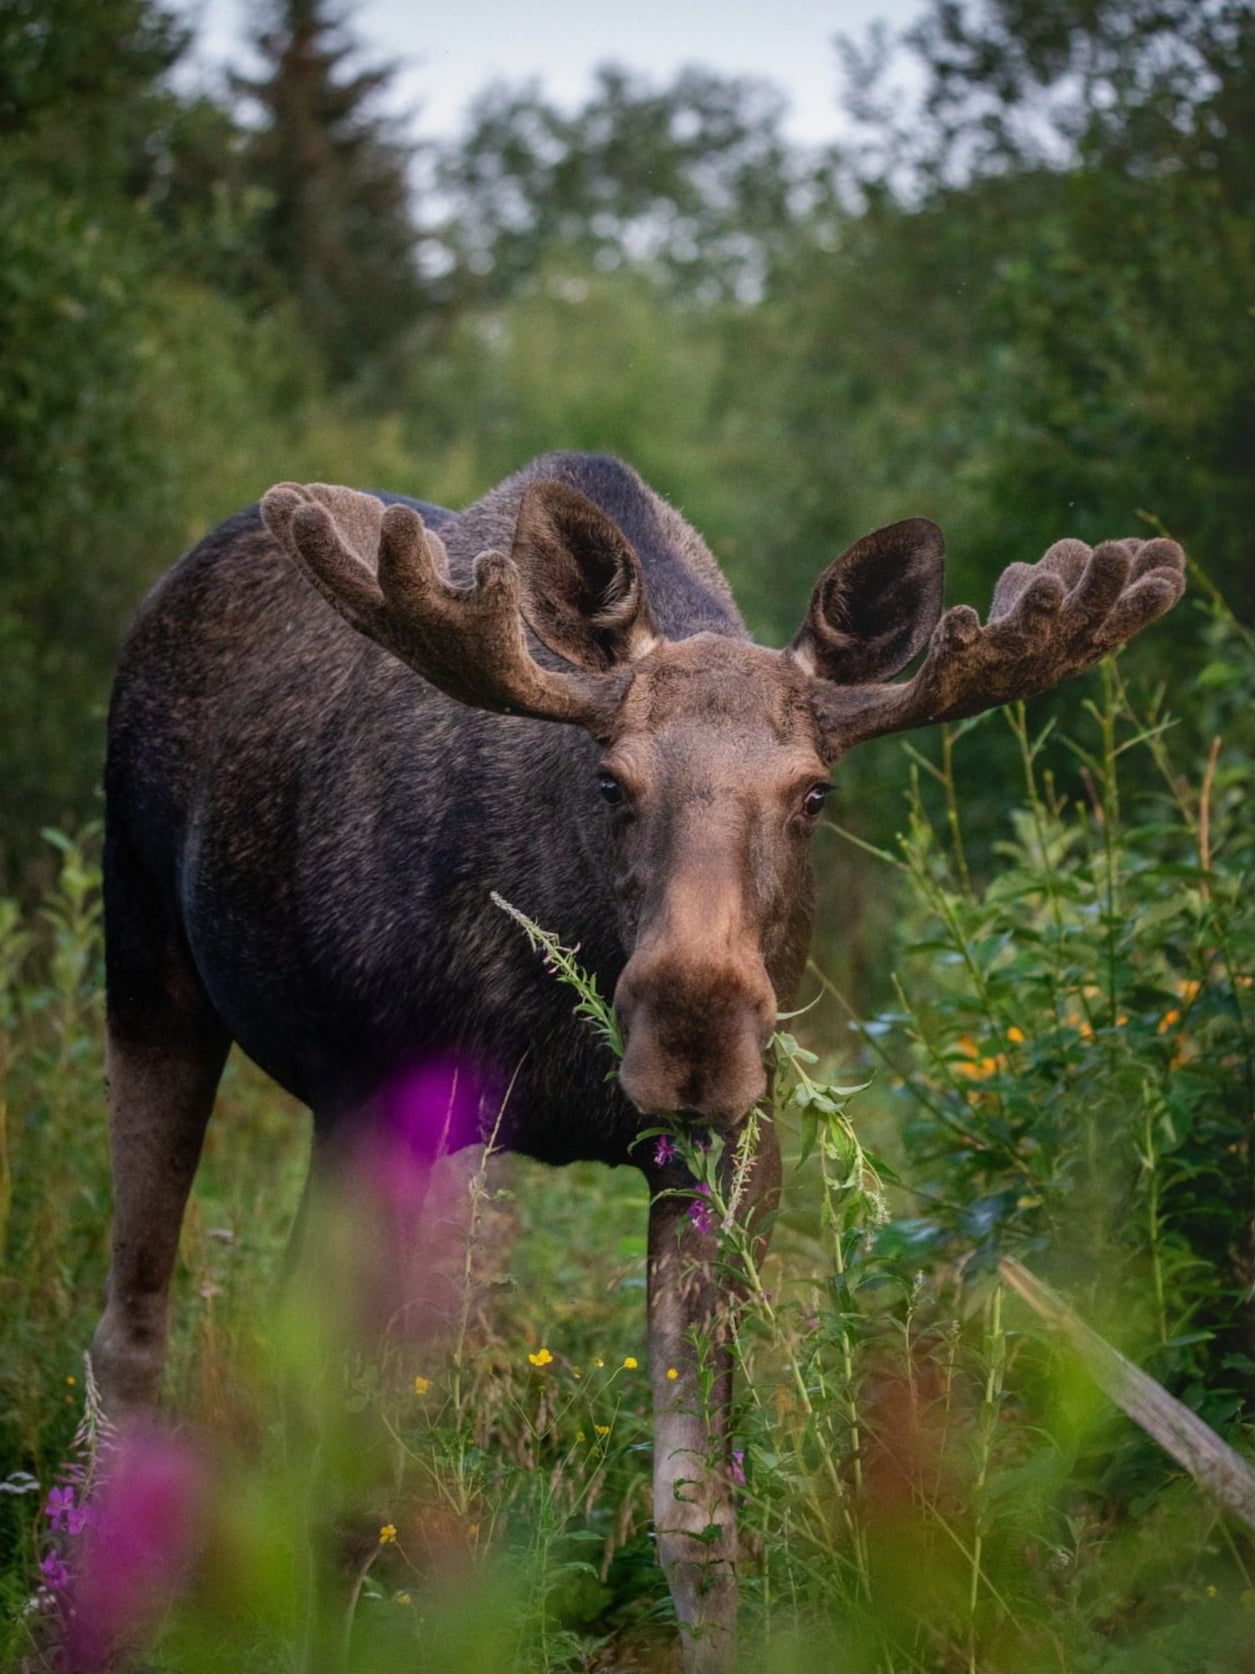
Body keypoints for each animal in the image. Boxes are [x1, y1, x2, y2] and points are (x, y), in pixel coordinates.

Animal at [91, 451, 1184, 1671]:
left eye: (815, 794)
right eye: (610, 780)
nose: (695, 1033)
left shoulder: (727, 1156)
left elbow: (697, 1512)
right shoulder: (372, 1104)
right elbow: (338, 1474)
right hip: (150, 964)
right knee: (136, 1323)